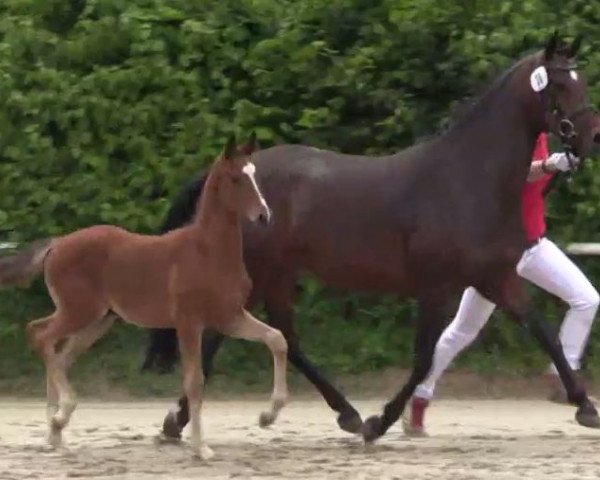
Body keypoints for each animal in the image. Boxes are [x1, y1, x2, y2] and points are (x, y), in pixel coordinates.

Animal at [0, 135, 290, 458]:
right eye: (236, 178)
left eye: (255, 176)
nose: (264, 216)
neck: (207, 252)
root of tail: (57, 243)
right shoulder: (189, 323)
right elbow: (195, 381)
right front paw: (201, 448)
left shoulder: (229, 317)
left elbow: (277, 339)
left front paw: (267, 416)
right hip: (78, 311)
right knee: (40, 334)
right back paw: (59, 417)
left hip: (97, 321)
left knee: (57, 354)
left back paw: (55, 432)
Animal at [145, 35, 600, 444]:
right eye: (561, 84)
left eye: (582, 79)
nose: (591, 138)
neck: (467, 179)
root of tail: (229, 174)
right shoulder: (435, 286)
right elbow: (424, 358)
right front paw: (379, 423)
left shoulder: (497, 279)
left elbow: (544, 334)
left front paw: (585, 407)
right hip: (260, 271)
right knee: (235, 336)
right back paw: (181, 421)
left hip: (277, 274)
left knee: (283, 336)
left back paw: (341, 413)